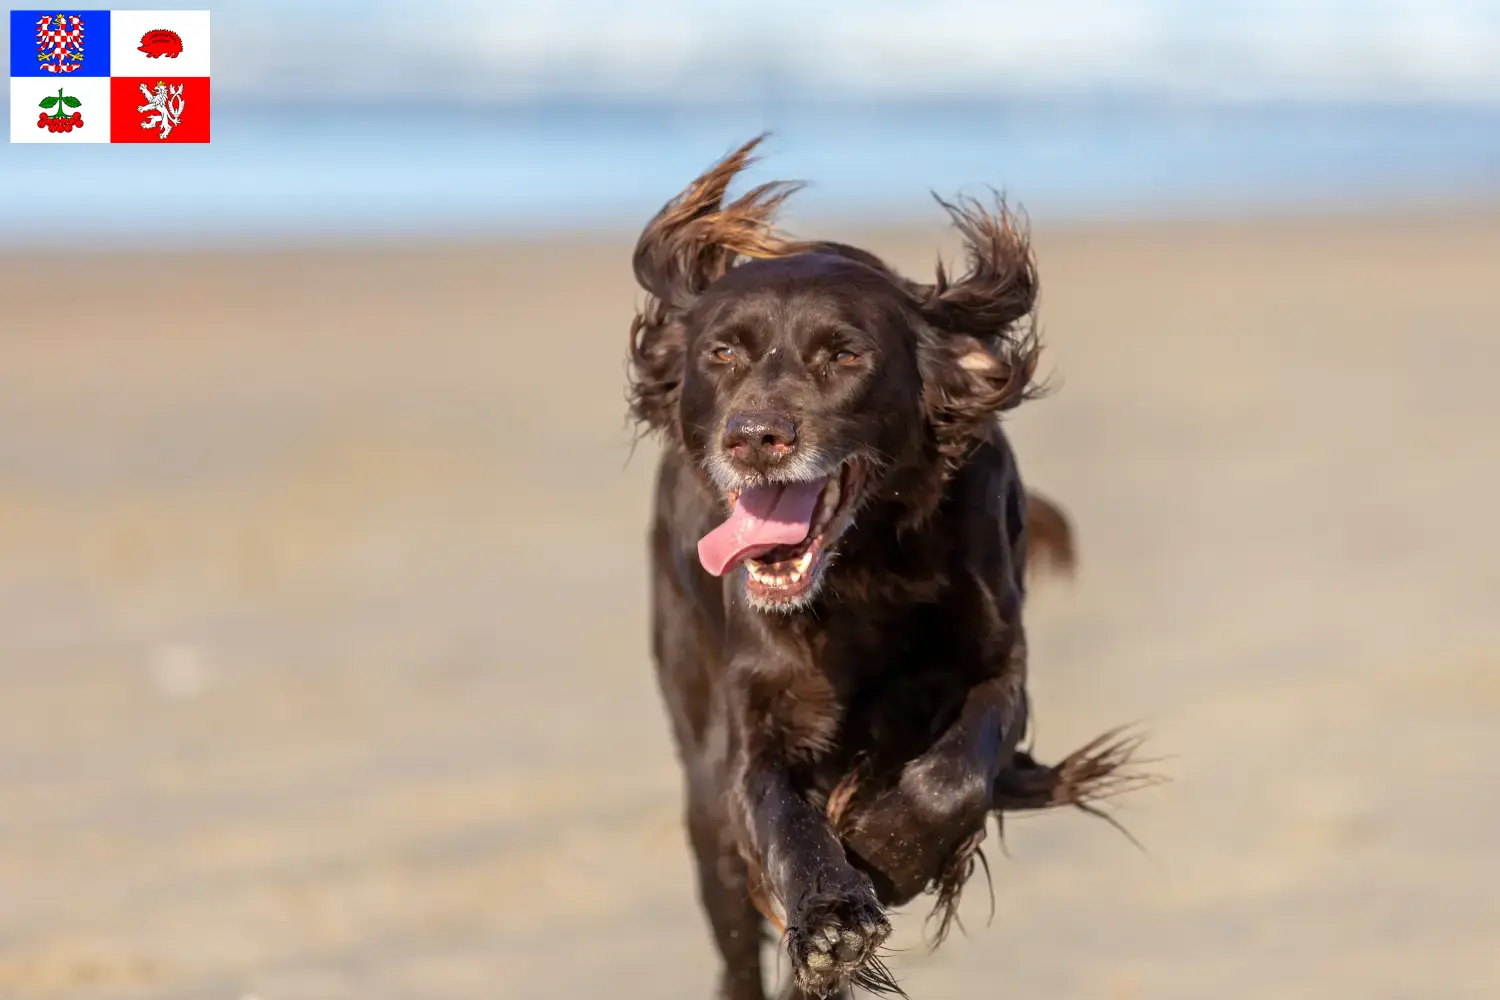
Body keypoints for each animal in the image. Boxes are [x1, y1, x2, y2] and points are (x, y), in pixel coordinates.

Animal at [630, 137, 1134, 995]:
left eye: (845, 355)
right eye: (721, 352)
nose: (754, 437)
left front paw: (887, 849)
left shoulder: (1001, 668)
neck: (863, 571)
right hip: (697, 775)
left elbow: (954, 771)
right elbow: (782, 819)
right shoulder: (751, 728)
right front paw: (832, 917)